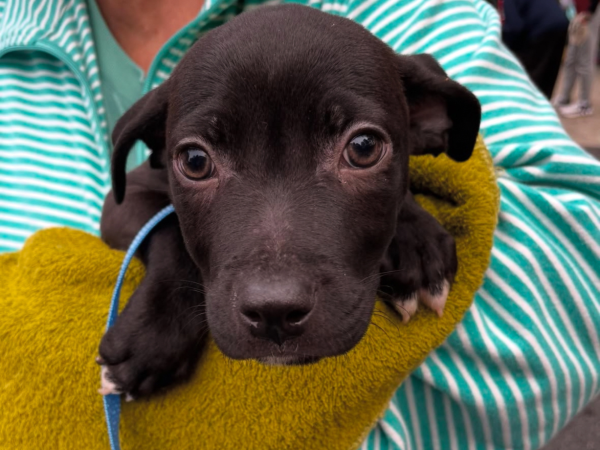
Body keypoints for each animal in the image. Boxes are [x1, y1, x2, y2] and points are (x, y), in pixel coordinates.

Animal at [98, 3, 482, 398]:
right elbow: (169, 229)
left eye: (364, 148)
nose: (274, 312)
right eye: (194, 161)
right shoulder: (124, 199)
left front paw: (417, 243)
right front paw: (153, 335)